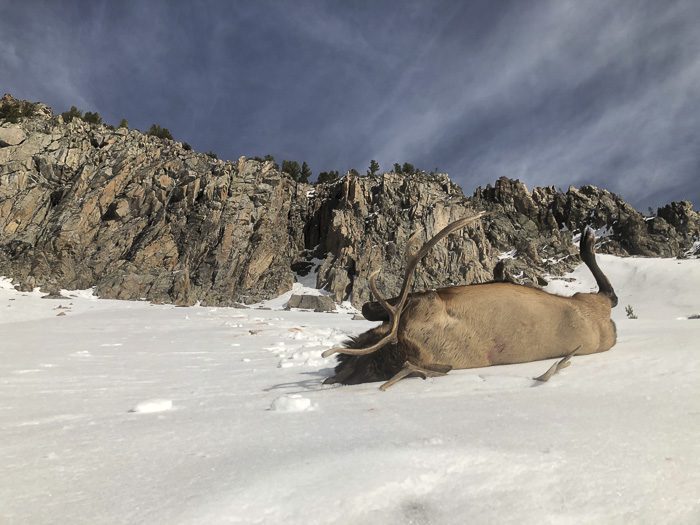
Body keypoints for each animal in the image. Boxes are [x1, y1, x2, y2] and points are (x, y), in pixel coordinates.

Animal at [322, 212, 618, 390]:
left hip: (591, 299)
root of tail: (608, 322)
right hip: (593, 305)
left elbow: (367, 307)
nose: (337, 370)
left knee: (611, 294)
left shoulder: (425, 300)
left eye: (361, 361)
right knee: (611, 296)